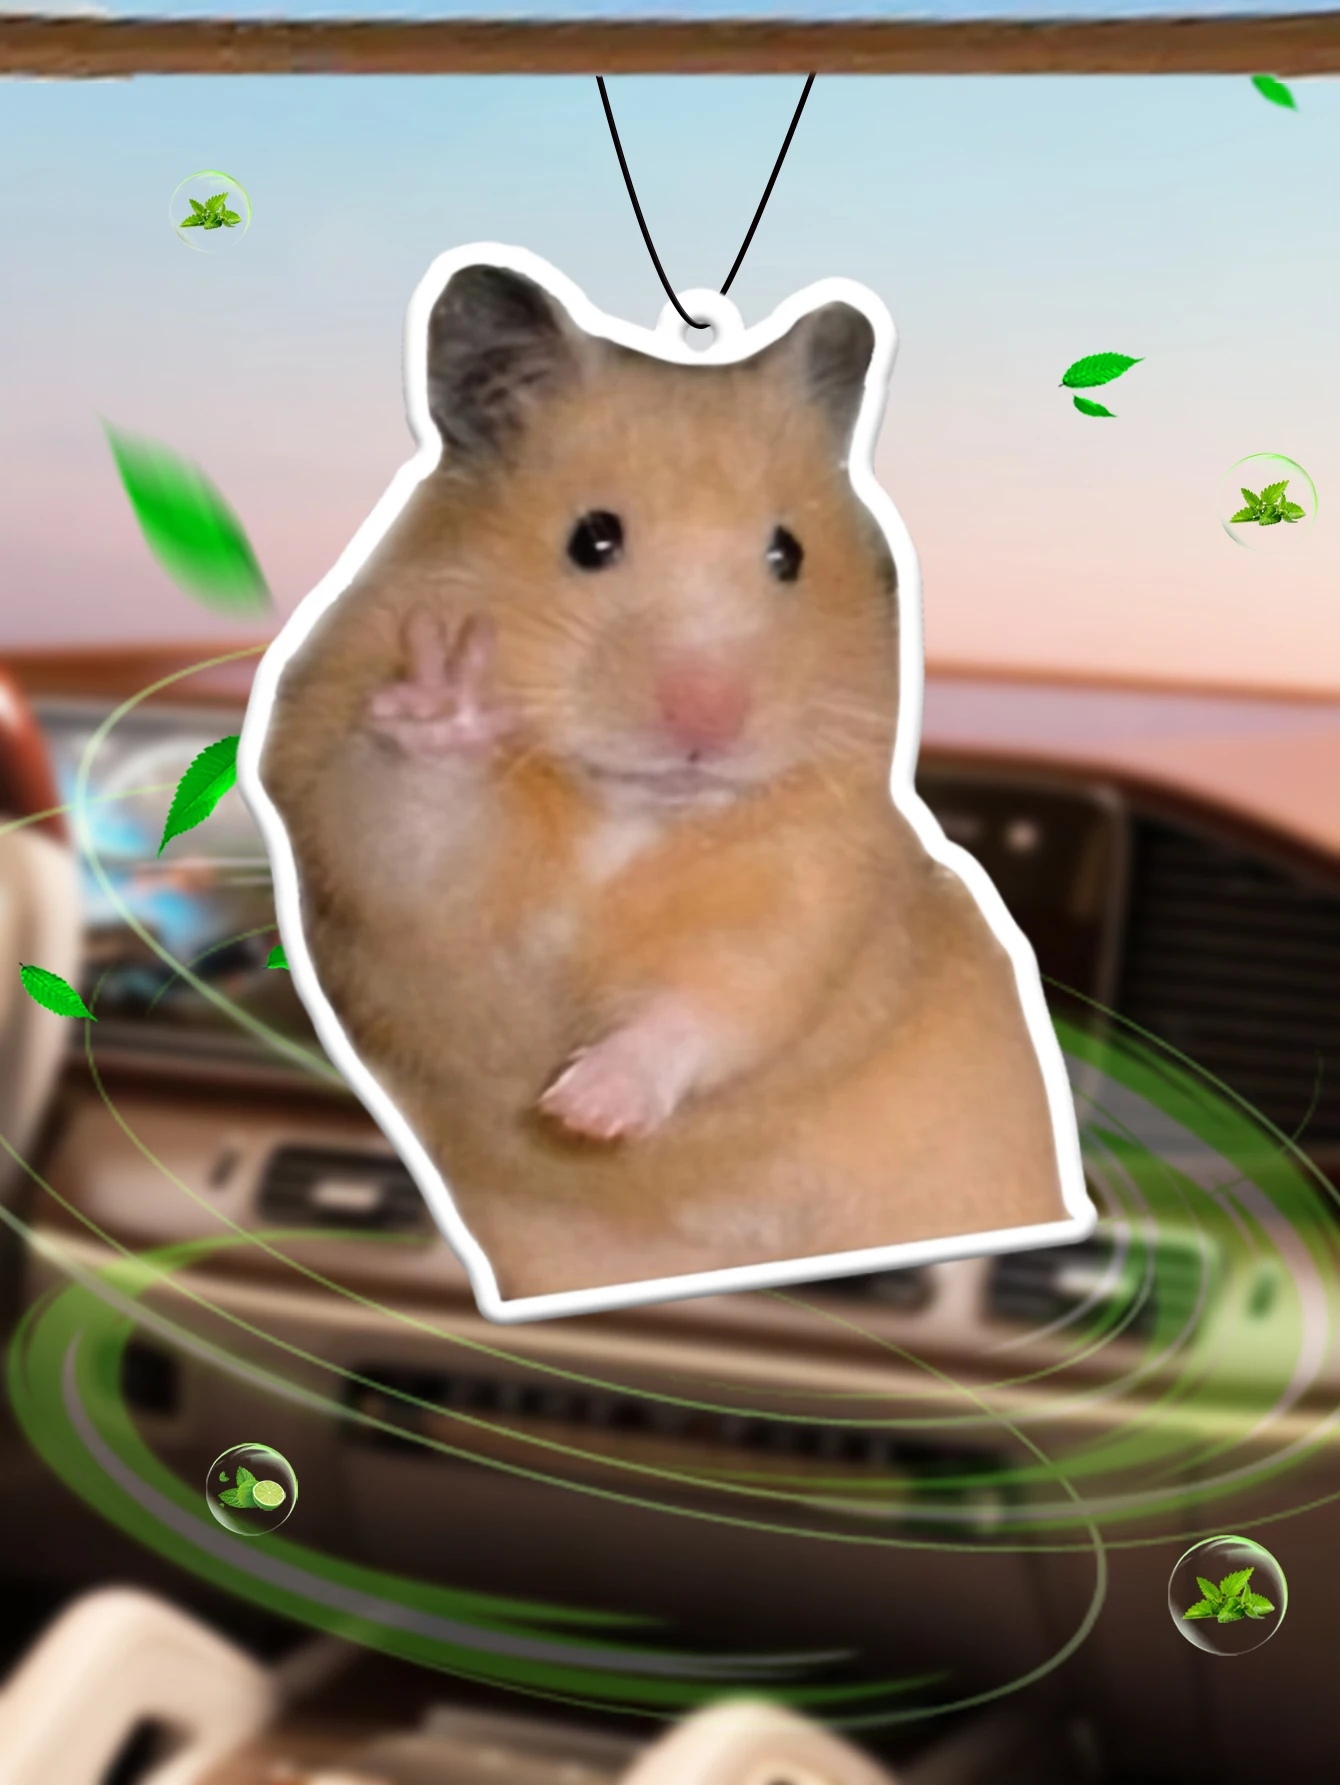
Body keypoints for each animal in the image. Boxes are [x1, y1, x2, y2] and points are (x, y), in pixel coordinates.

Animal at [260, 263, 1070, 1300]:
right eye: (591, 539)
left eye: (788, 554)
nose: (707, 724)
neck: (631, 812)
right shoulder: (381, 859)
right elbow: (416, 829)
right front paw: (448, 696)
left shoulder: (809, 893)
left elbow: (716, 1002)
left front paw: (585, 1109)